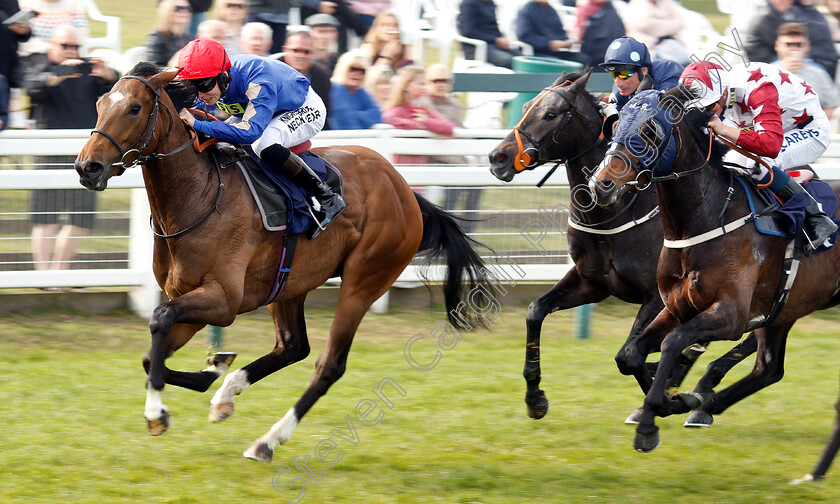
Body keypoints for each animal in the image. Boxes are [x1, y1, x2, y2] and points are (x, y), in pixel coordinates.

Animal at [77, 65, 492, 462]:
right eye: (99, 104)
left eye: (134, 108)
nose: (87, 167)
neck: (200, 196)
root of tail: (406, 191)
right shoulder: (192, 301)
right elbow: (153, 356)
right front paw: (211, 370)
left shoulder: (223, 300)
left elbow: (159, 320)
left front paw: (155, 413)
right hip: (288, 284)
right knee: (294, 347)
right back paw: (228, 391)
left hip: (364, 280)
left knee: (328, 365)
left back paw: (267, 441)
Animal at [486, 67, 756, 422]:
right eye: (528, 105)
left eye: (551, 114)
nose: (497, 157)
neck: (615, 211)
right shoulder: (591, 282)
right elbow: (535, 311)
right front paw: (535, 398)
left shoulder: (656, 297)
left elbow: (629, 352)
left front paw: (662, 399)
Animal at [588, 86, 840, 480]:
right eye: (615, 124)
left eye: (650, 131)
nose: (601, 184)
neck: (701, 220)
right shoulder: (677, 307)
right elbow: (630, 354)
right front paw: (670, 401)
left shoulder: (731, 314)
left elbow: (674, 343)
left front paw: (651, 422)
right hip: (782, 312)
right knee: (769, 369)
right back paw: (705, 405)